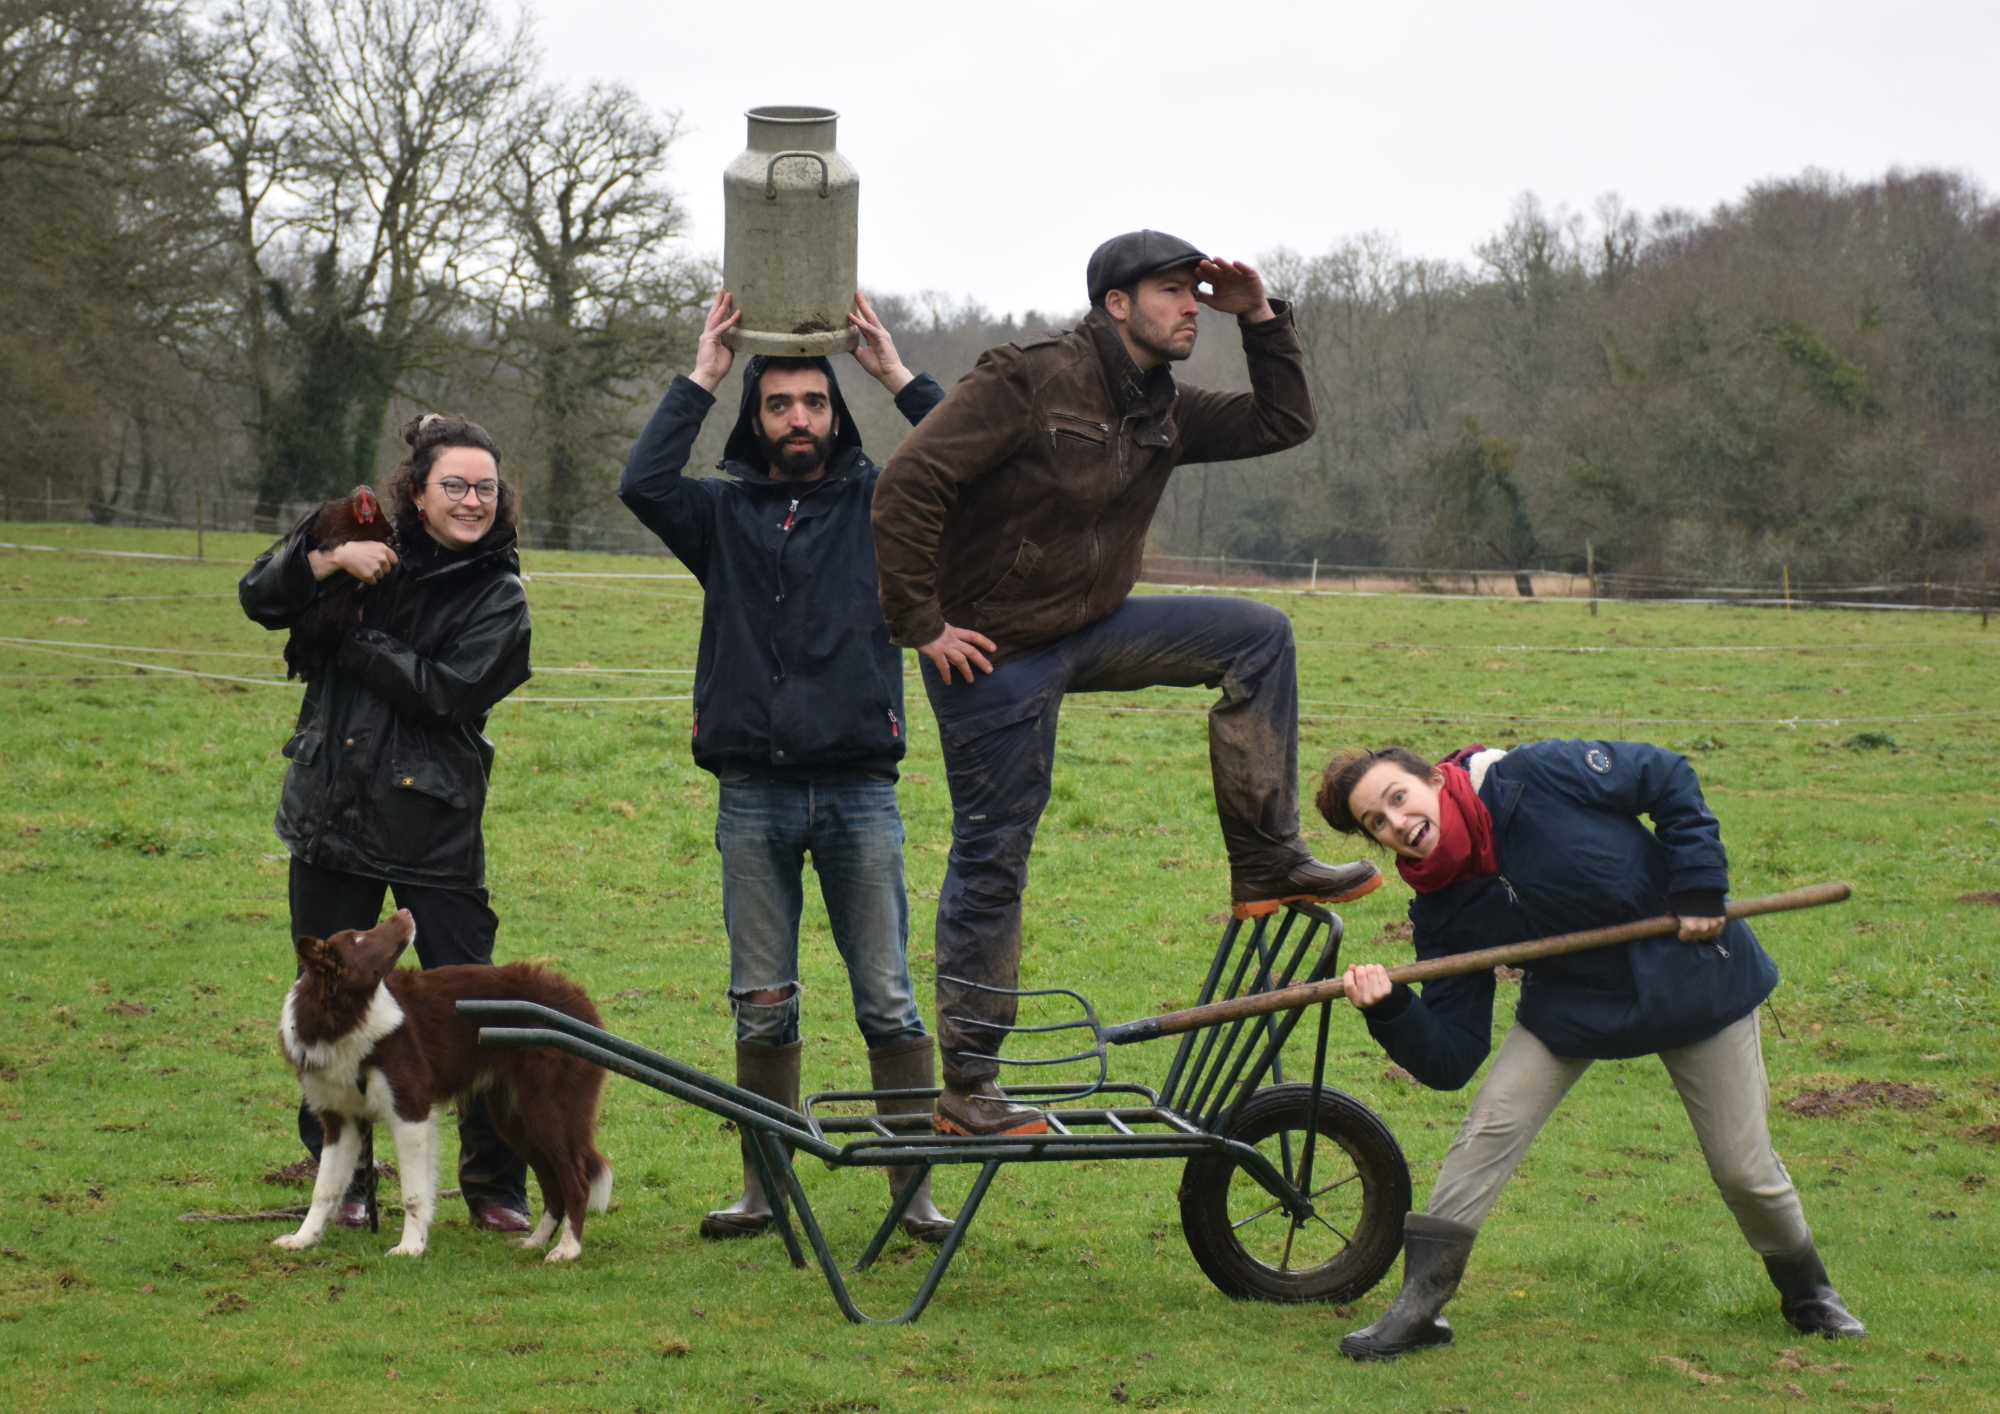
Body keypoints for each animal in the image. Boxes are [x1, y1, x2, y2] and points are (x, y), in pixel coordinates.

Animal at [275, 909, 612, 1261]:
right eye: (358, 937)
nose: (405, 912)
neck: (346, 1017)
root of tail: (581, 1000)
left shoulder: (410, 1110)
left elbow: (413, 1193)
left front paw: (410, 1246)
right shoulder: (341, 1120)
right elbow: (323, 1190)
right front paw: (303, 1239)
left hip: (547, 1111)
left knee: (576, 1181)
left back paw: (568, 1248)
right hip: (515, 1119)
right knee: (553, 1182)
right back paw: (536, 1241)